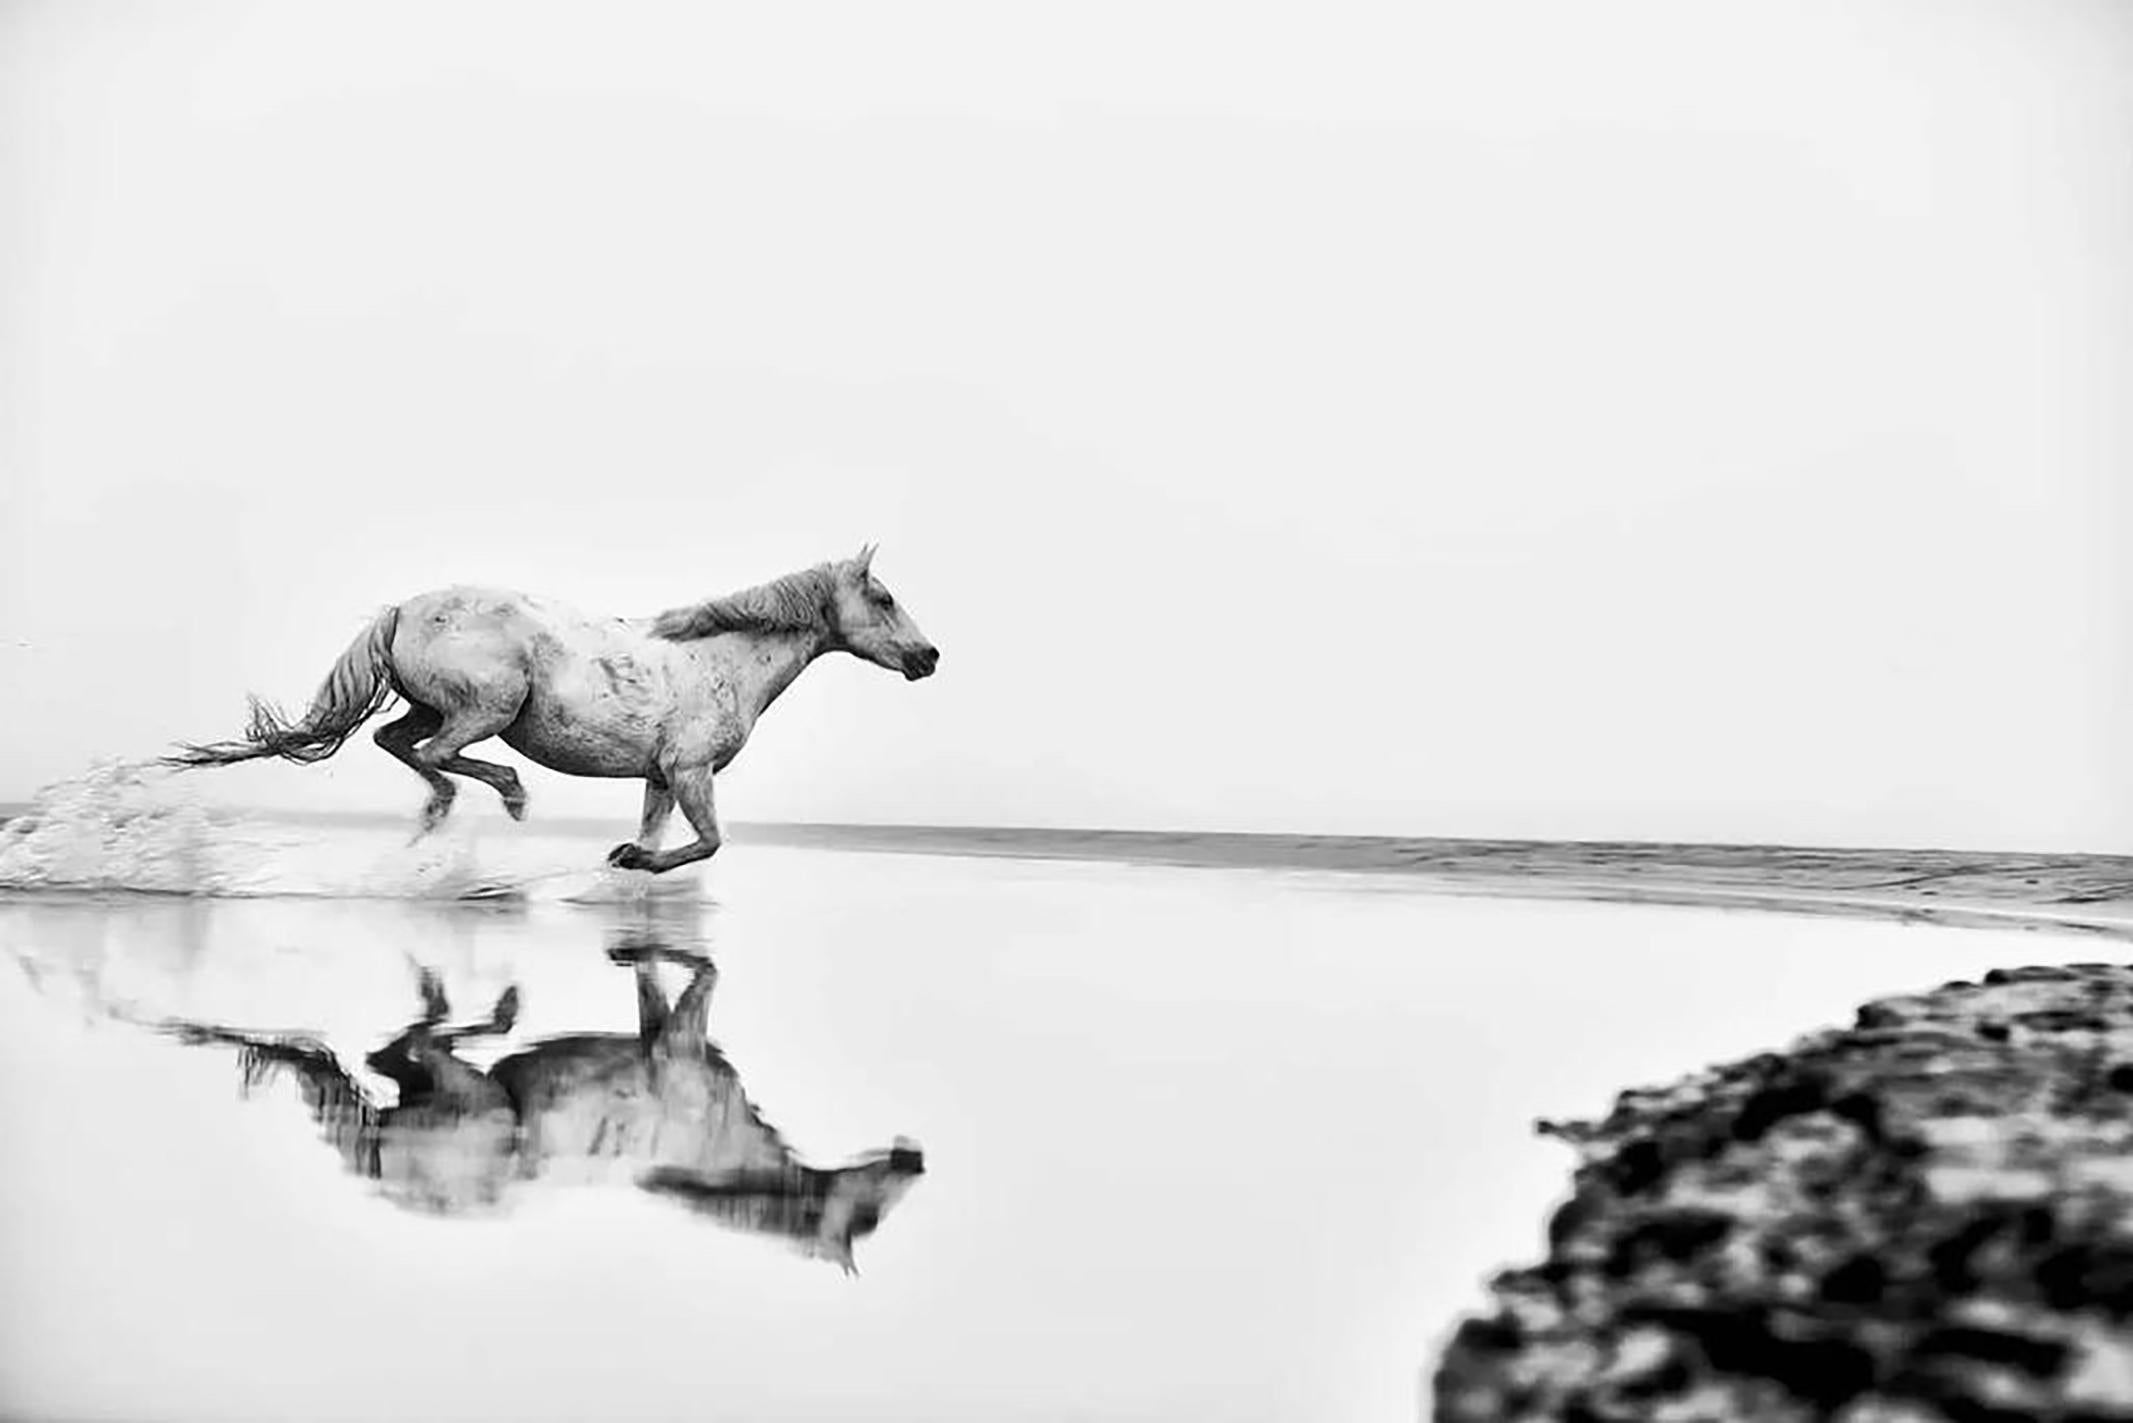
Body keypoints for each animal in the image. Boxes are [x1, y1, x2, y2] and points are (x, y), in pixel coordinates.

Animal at [166, 550, 934, 874]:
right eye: (884, 598)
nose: (929, 657)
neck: (717, 659)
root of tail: (401, 609)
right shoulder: (692, 770)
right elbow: (710, 841)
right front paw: (634, 861)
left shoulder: (662, 775)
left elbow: (658, 830)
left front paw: (630, 856)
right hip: (487, 710)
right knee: (439, 755)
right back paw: (504, 797)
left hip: (430, 707)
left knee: (394, 740)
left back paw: (434, 822)